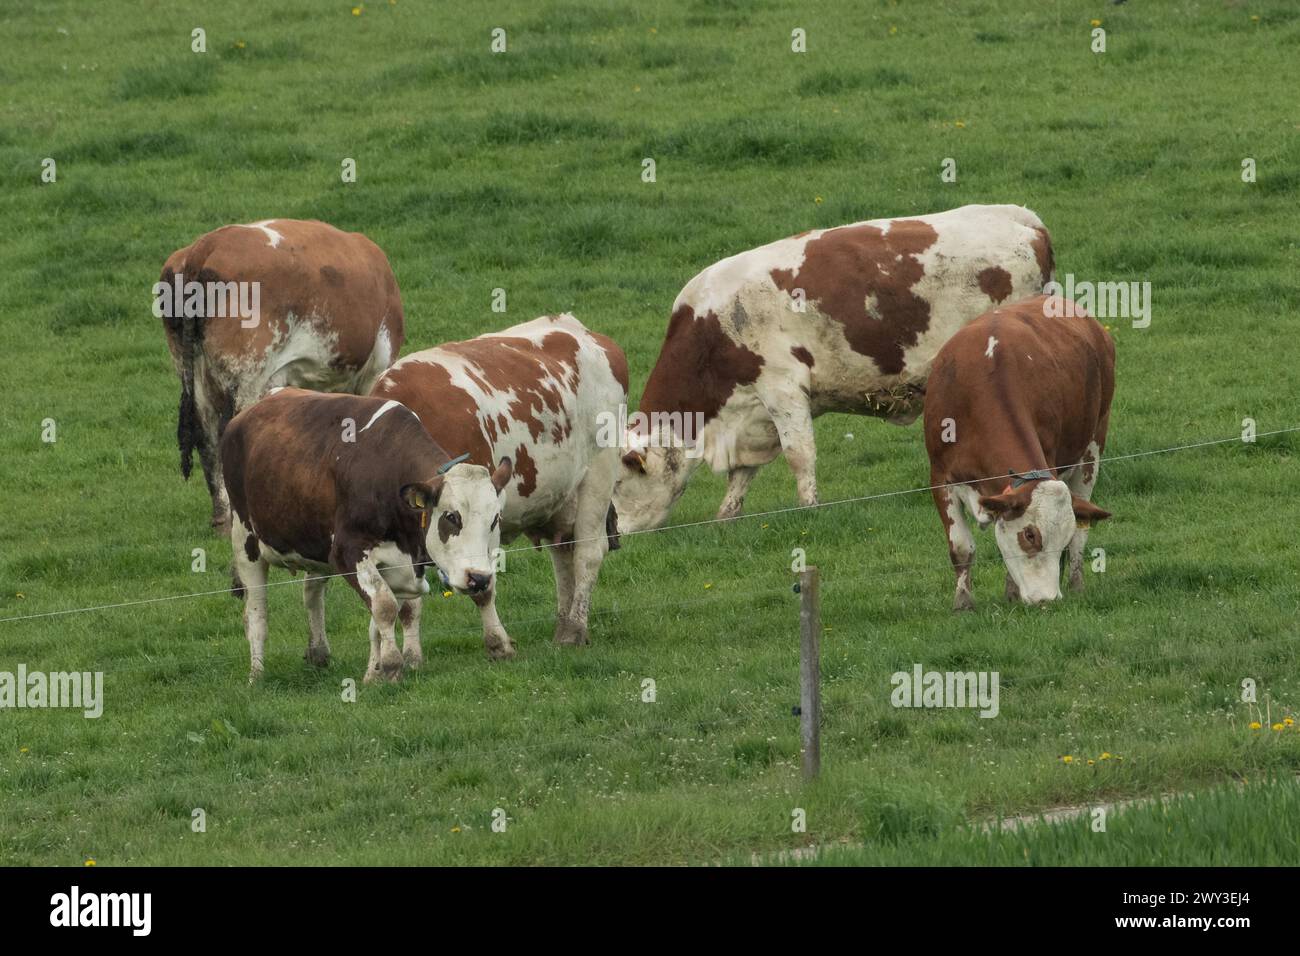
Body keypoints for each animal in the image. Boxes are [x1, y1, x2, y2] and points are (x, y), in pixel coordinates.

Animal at [158, 218, 400, 530]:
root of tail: (203, 248)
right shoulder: (378, 365)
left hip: (195, 375)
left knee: (205, 434)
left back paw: (221, 517)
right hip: (248, 374)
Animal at [220, 385, 509, 686]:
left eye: (494, 519)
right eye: (451, 517)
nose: (476, 578)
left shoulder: (404, 565)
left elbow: (393, 615)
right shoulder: (347, 551)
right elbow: (384, 606)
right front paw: (391, 665)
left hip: (314, 541)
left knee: (311, 593)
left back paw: (318, 651)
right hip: (245, 540)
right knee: (256, 612)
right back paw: (256, 674)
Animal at [371, 312, 629, 658]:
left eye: (492, 518)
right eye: (450, 516)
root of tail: (582, 330)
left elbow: (484, 589)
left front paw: (498, 644)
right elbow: (407, 600)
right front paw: (412, 656)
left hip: (600, 470)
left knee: (588, 552)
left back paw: (575, 628)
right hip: (559, 496)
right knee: (563, 553)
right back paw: (564, 626)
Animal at [611, 204, 1055, 530]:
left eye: (617, 482)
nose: (614, 535)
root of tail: (1022, 217)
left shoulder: (781, 386)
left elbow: (799, 453)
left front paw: (809, 508)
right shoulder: (751, 412)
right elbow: (743, 472)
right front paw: (726, 517)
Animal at [920, 295, 1112, 613]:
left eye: (1060, 538)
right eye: (1030, 535)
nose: (1048, 599)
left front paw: (1010, 591)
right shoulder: (940, 476)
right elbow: (961, 547)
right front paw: (963, 602)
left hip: (1093, 449)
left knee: (1082, 531)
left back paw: (1075, 583)